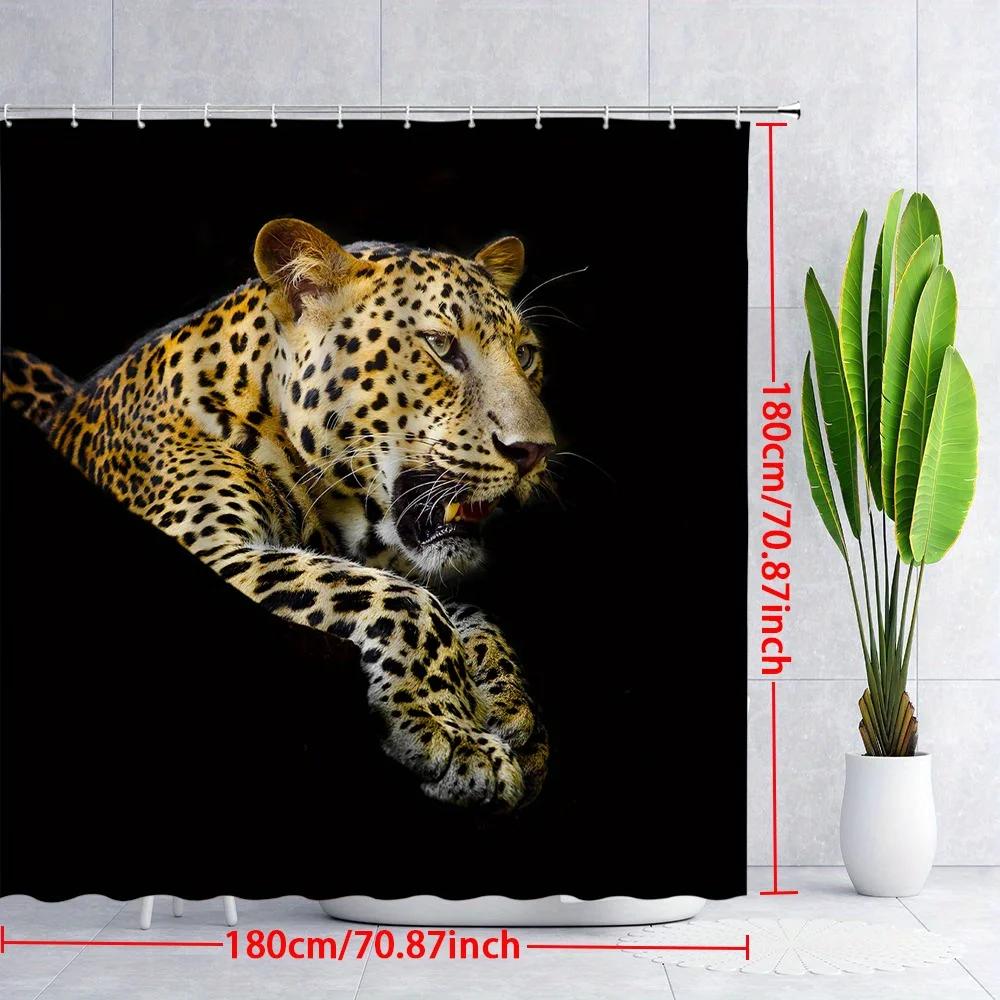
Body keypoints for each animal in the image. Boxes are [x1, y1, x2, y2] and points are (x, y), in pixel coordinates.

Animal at [2, 218, 557, 810]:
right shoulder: (205, 545)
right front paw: (457, 736)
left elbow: (466, 610)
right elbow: (403, 598)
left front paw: (511, 708)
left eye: (525, 354)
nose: (535, 451)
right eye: (441, 345)